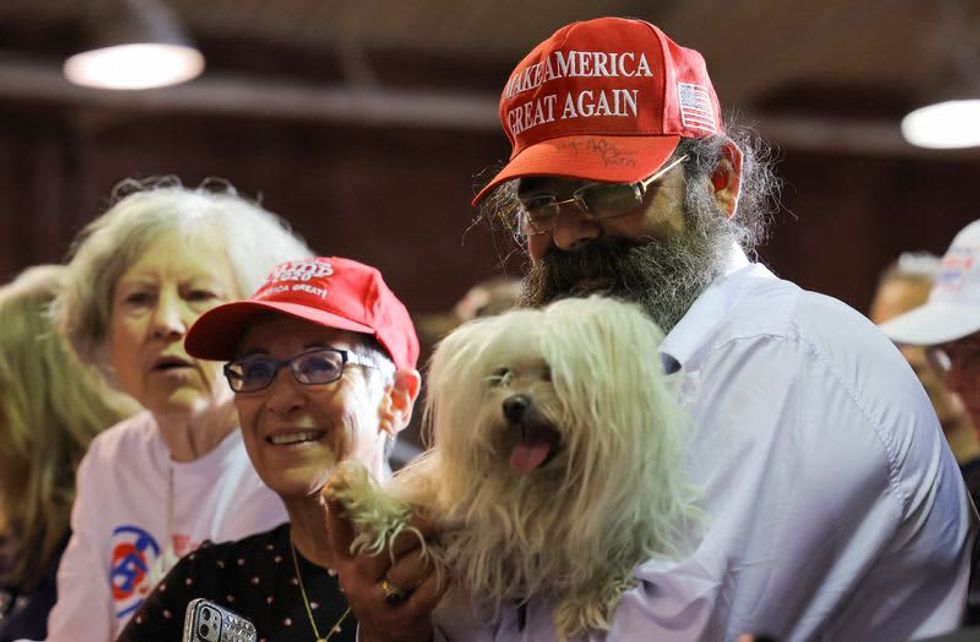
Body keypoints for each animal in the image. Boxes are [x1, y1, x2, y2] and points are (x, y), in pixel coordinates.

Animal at [327, 295, 695, 640]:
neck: (547, 488)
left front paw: (585, 601)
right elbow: (410, 509)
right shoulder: (466, 513)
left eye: (552, 373)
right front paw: (360, 496)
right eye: (502, 376)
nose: (513, 405)